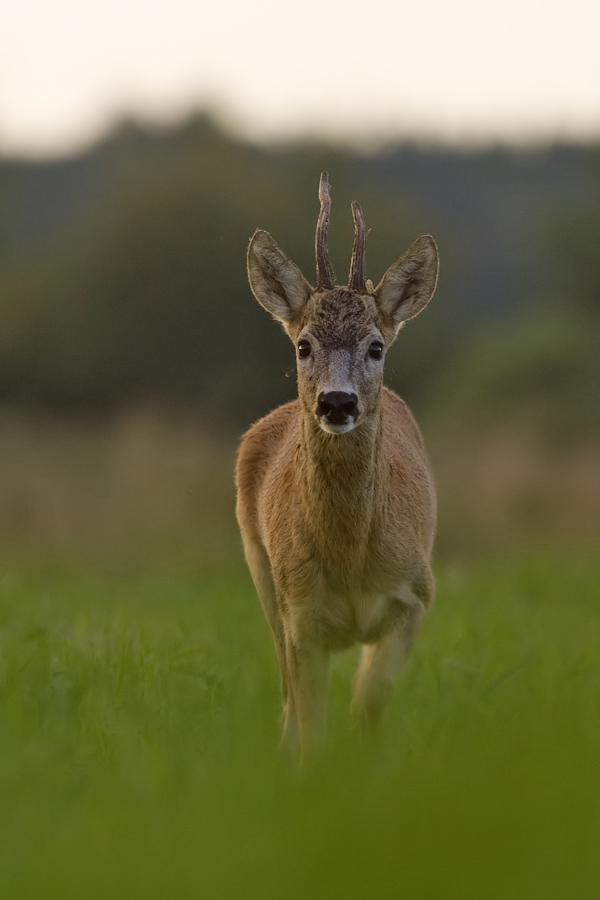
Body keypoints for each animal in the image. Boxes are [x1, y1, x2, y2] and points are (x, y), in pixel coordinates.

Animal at [237, 172, 438, 748]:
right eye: (304, 345)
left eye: (376, 347)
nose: (337, 402)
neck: (350, 565)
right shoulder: (300, 616)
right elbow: (311, 724)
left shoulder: (416, 594)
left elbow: (368, 701)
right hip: (262, 574)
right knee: (286, 701)